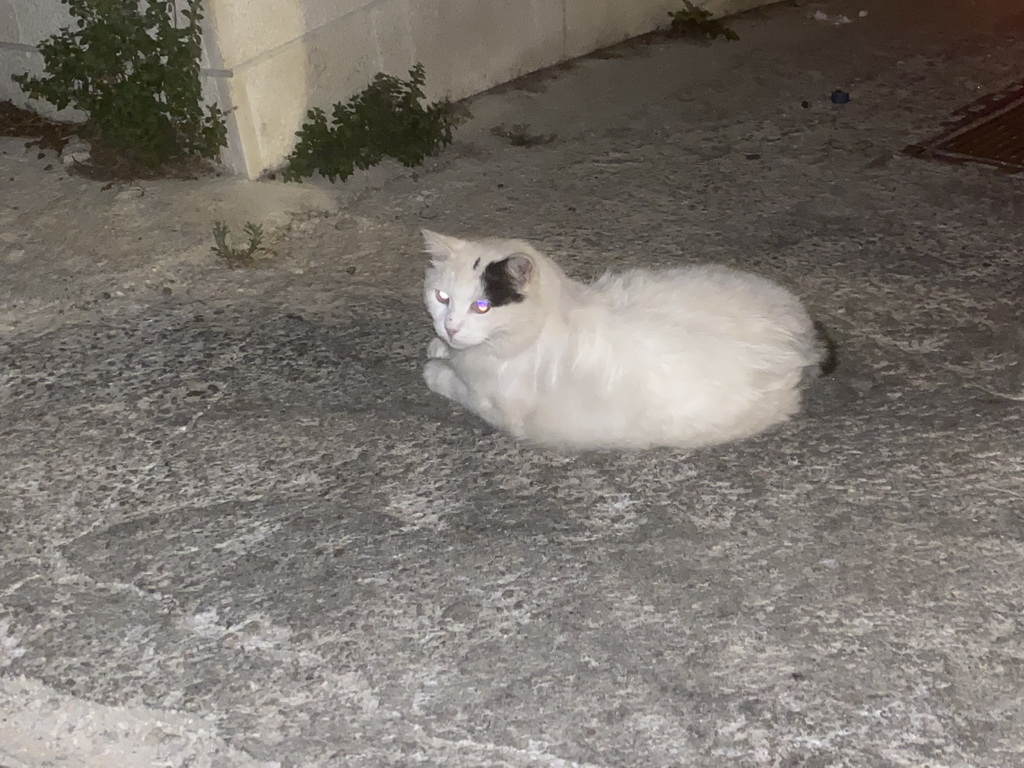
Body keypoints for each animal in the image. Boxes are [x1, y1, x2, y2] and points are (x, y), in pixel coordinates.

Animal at [419, 231, 835, 454]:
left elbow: (446, 379)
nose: (451, 327)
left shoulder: (493, 405)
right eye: (442, 297)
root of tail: (801, 335)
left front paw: (435, 364)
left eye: (482, 306)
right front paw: (440, 346)